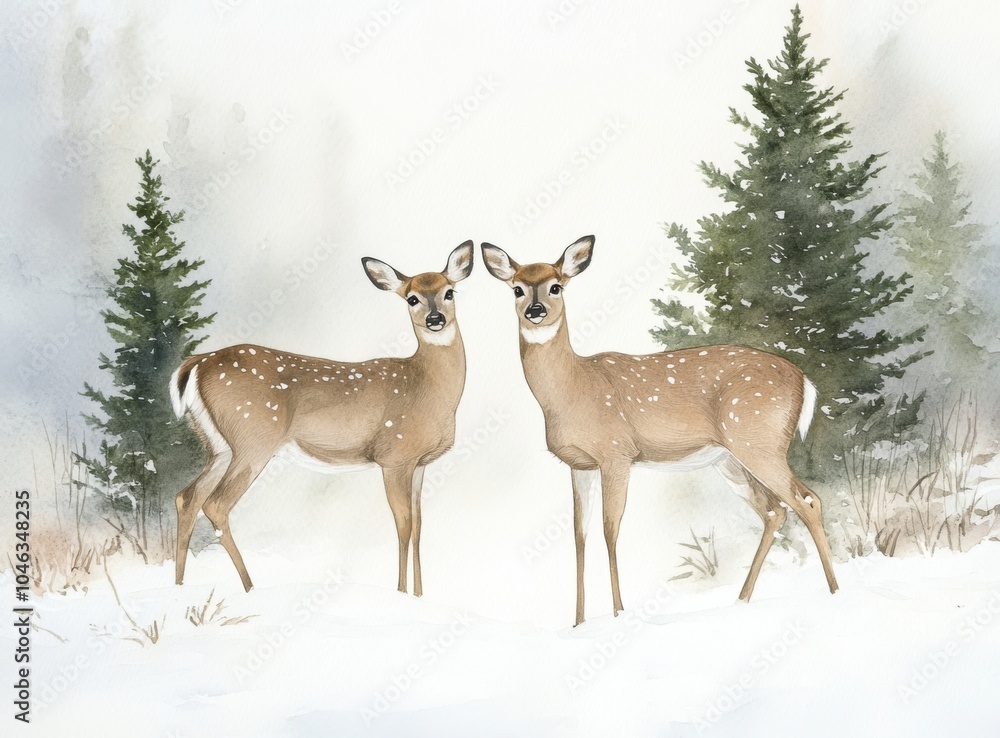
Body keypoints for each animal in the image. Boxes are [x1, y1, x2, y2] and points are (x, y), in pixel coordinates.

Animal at [168, 240, 474, 596]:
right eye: (411, 298)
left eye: (449, 292)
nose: (435, 318)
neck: (428, 389)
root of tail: (197, 363)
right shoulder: (394, 455)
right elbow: (403, 524)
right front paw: (401, 593)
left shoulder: (420, 463)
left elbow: (419, 526)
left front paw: (419, 596)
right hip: (253, 438)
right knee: (215, 504)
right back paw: (250, 587)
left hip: (219, 446)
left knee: (186, 497)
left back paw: (179, 587)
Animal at [481, 236, 838, 626]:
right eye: (517, 289)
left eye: (555, 287)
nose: (536, 311)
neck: (572, 390)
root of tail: (805, 382)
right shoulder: (579, 465)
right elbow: (579, 535)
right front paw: (578, 622)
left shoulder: (616, 453)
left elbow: (610, 529)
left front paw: (619, 613)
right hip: (730, 457)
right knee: (774, 511)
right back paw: (741, 601)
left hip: (760, 439)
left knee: (808, 500)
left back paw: (835, 592)